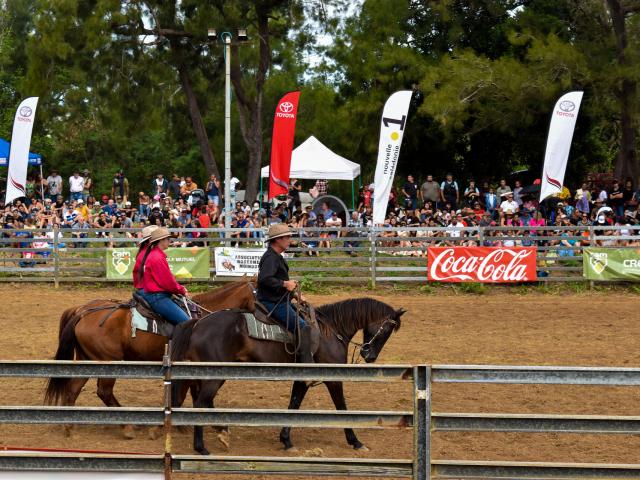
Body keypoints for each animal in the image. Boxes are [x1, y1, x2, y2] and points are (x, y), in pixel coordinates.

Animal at [43, 278, 255, 438]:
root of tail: (82, 311)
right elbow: (185, 395)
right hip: (107, 361)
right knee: (104, 392)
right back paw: (128, 427)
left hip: (88, 359)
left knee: (73, 389)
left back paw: (69, 426)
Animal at [170, 298, 404, 456]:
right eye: (386, 331)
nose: (369, 356)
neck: (330, 331)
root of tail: (198, 323)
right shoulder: (333, 378)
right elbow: (342, 407)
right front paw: (355, 441)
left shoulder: (302, 379)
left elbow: (294, 405)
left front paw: (286, 441)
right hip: (214, 376)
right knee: (200, 402)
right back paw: (201, 447)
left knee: (201, 399)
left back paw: (221, 432)